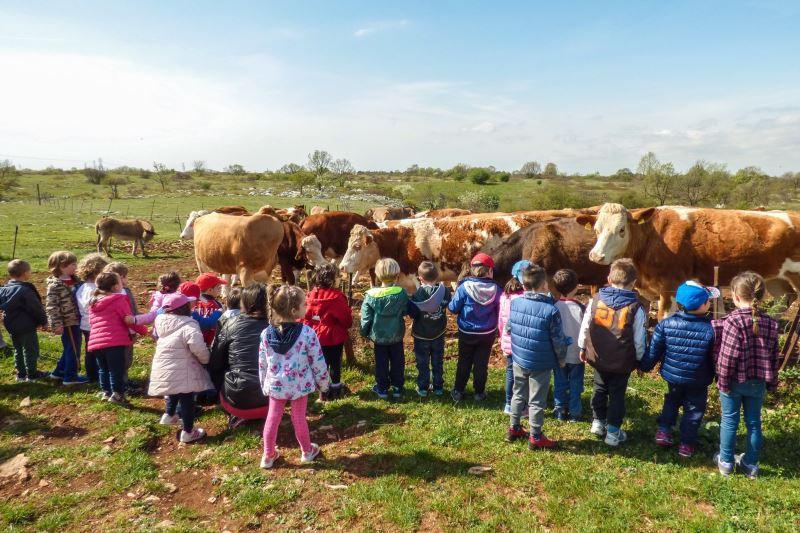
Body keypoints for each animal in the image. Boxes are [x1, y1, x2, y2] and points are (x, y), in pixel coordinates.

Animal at [576, 204, 800, 312]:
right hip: (775, 279)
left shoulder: (669, 287)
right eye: (596, 229)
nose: (596, 255)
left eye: (621, 230)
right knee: (784, 300)